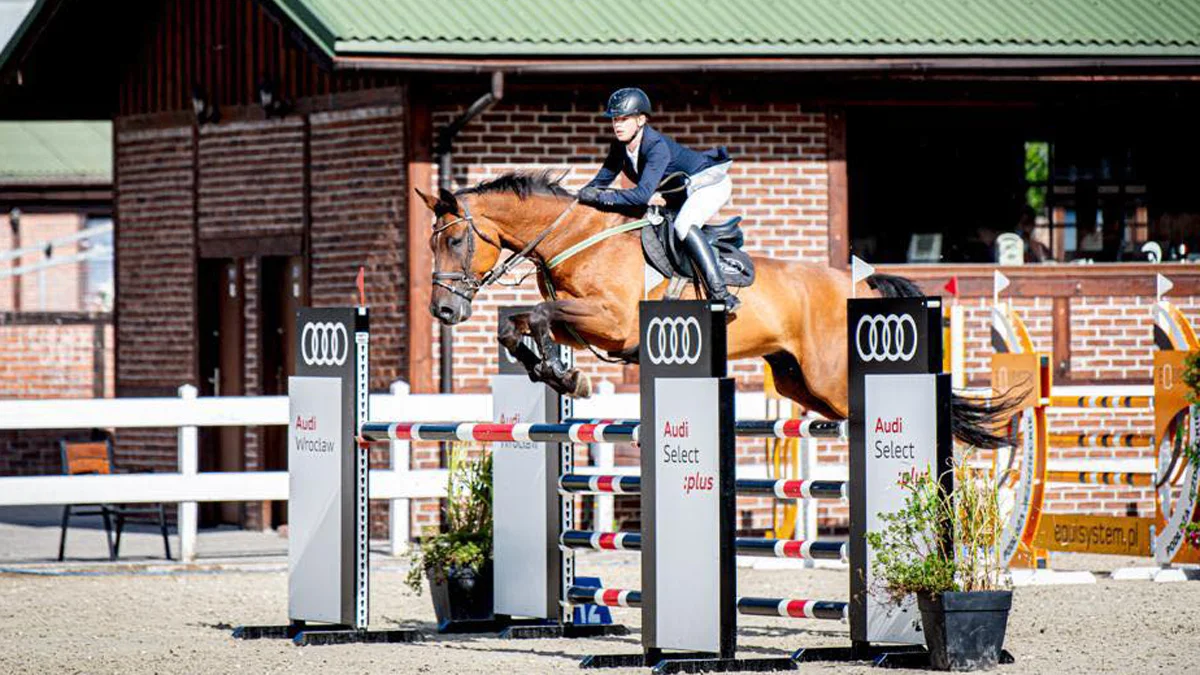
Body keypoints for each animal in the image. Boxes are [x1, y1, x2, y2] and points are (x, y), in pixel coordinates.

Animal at [417, 170, 1008, 449]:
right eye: (431, 244)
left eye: (456, 241)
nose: (443, 312)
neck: (578, 238)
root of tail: (855, 283)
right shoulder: (581, 322)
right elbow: (516, 322)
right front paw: (553, 371)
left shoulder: (611, 323)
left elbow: (537, 317)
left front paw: (565, 376)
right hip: (799, 382)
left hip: (833, 378)